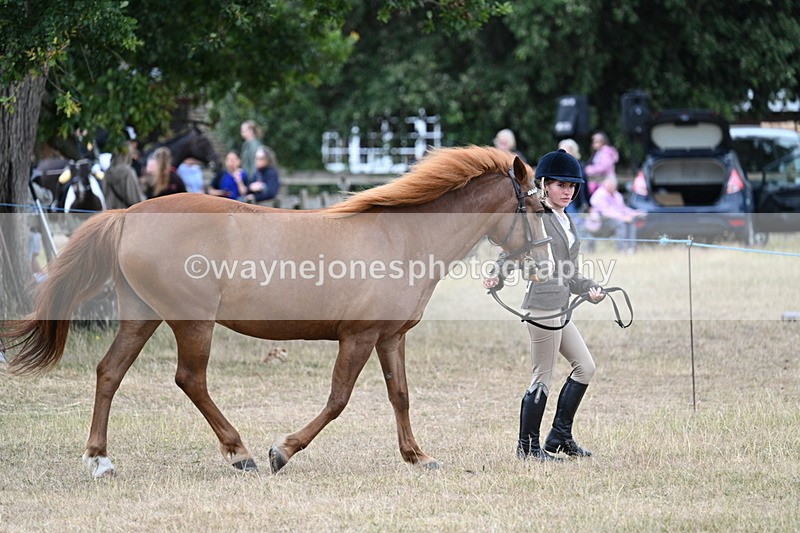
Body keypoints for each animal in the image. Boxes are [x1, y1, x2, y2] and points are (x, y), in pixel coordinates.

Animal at [3, 146, 551, 478]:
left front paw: (417, 456)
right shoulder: (358, 337)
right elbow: (338, 400)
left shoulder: (390, 337)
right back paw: (240, 452)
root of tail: (128, 215)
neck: (401, 239)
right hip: (192, 322)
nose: (546, 265)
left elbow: (400, 396)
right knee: (190, 379)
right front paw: (282, 451)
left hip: (142, 316)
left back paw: (100, 459)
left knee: (109, 372)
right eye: (540, 208)